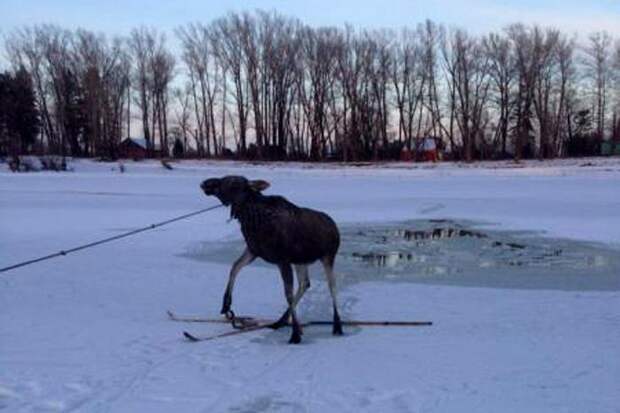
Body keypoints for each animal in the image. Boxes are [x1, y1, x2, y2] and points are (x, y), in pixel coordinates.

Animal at [201, 175, 342, 342]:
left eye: (233, 183)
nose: (206, 183)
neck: (251, 219)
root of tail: (335, 227)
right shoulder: (254, 251)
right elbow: (235, 267)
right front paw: (226, 304)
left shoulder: (282, 260)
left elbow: (287, 293)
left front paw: (295, 334)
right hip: (301, 261)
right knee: (305, 283)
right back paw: (281, 321)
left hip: (328, 257)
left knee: (332, 286)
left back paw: (337, 326)